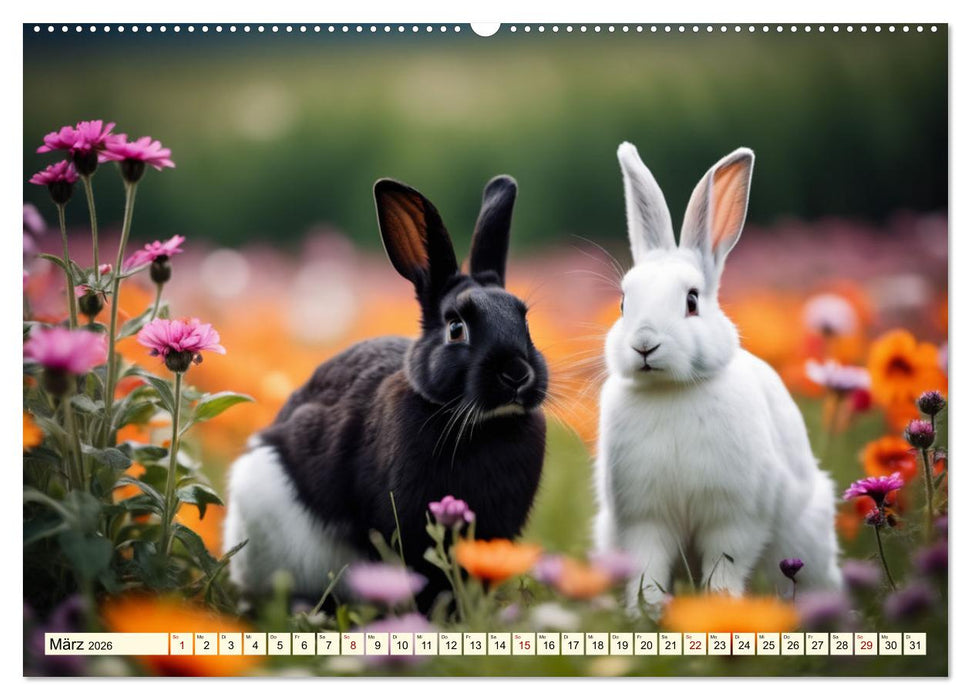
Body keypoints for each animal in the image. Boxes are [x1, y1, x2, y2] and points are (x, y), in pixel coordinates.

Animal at [593, 142, 842, 611]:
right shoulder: (643, 520)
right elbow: (648, 568)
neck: (672, 390)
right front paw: (646, 612)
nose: (644, 344)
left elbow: (725, 565)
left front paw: (718, 608)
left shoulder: (735, 518)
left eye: (692, 300)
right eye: (623, 303)